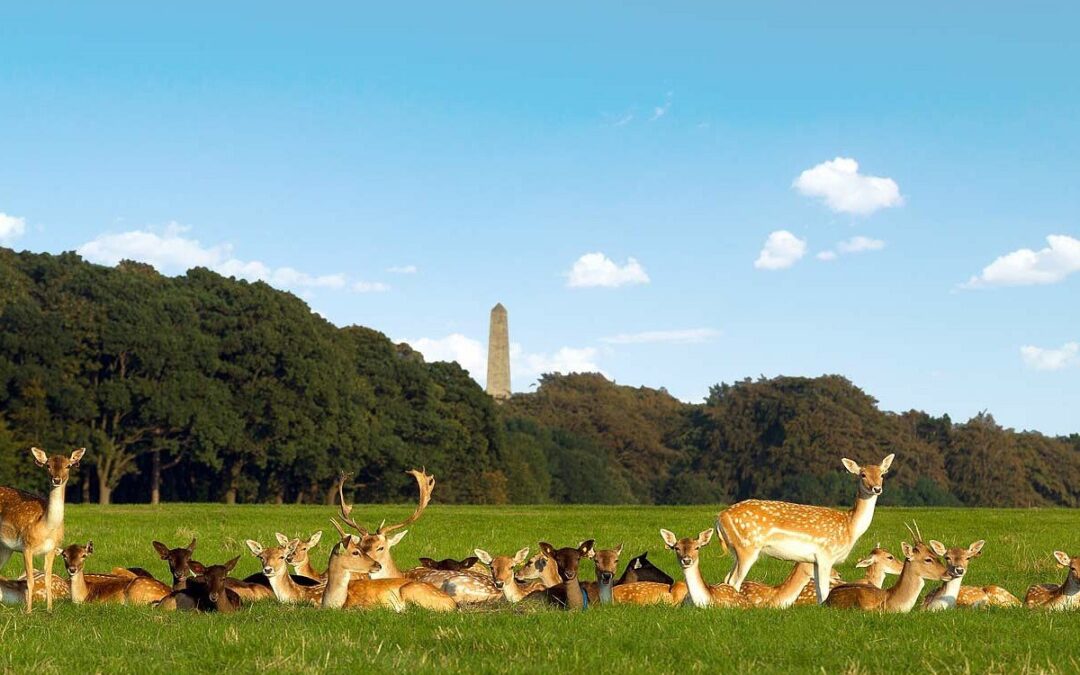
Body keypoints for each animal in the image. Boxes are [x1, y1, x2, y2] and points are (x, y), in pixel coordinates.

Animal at [0, 447, 84, 609]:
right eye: (48, 466)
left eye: (68, 466)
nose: (56, 480)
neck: (46, 528)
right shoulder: (26, 546)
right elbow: (30, 581)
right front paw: (28, 611)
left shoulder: (52, 549)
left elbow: (47, 580)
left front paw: (50, 610)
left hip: (6, 547)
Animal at [717, 449, 894, 604]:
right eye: (862, 474)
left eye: (882, 474)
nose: (877, 488)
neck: (849, 526)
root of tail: (720, 518)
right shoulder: (825, 554)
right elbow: (824, 590)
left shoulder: (814, 560)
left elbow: (819, 593)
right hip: (747, 547)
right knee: (734, 580)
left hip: (736, 550)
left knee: (727, 578)